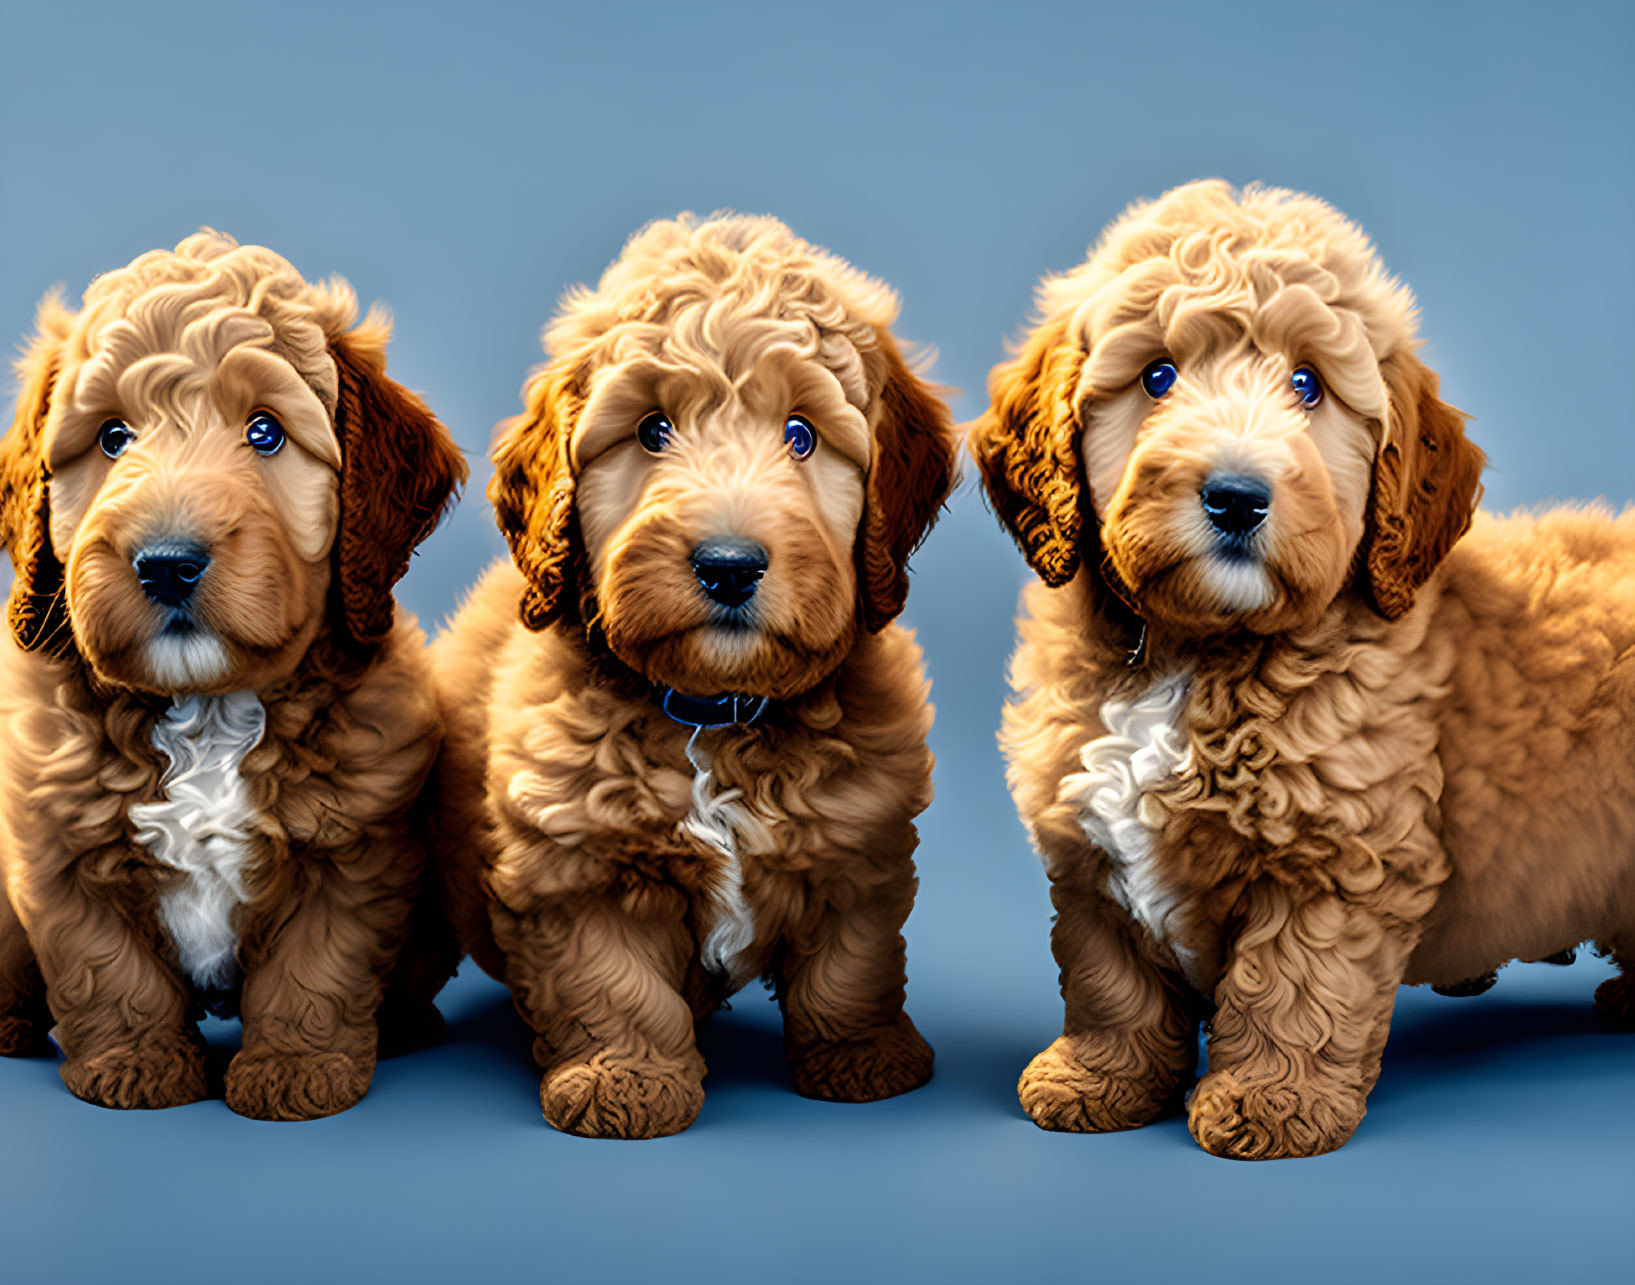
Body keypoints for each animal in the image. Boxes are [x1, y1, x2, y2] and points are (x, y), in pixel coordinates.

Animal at [0, 235, 467, 1118]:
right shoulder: (60, 846)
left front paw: (296, 1071)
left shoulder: (353, 851)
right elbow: (107, 967)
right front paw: (136, 1065)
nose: (166, 563)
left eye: (265, 432)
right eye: (113, 436)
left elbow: (314, 969)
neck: (205, 710)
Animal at [967, 183, 1635, 1164]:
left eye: (1308, 385)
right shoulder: (1087, 850)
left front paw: (1268, 1104)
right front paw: (1099, 1081)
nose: (1236, 496)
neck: (1193, 652)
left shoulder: (1336, 858)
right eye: (1156, 376)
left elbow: (1291, 985)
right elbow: (1108, 978)